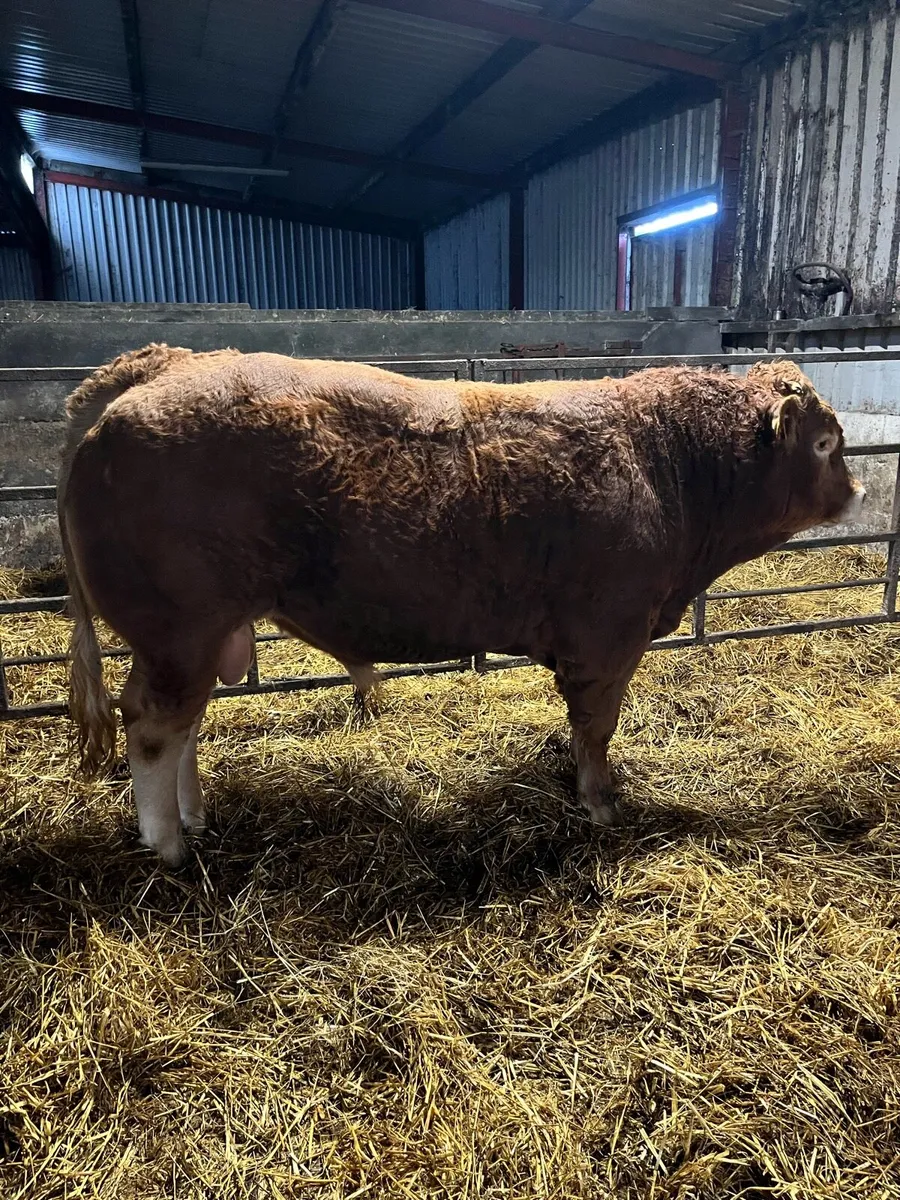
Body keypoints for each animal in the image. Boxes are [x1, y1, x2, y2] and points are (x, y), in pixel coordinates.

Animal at [58, 344, 865, 865]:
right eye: (827, 442)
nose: (858, 491)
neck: (663, 460)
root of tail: (161, 367)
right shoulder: (608, 638)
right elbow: (596, 730)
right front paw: (600, 803)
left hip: (198, 638)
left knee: (183, 729)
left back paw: (194, 819)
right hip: (178, 631)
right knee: (153, 730)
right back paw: (168, 846)